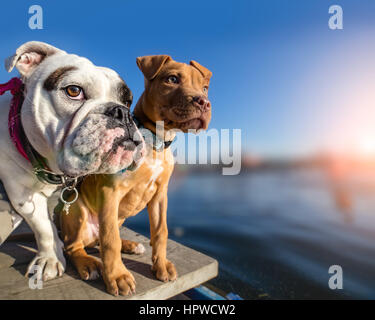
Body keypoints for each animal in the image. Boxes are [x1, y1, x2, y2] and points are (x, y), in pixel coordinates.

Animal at [58, 54, 212, 296]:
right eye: (172, 79)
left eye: (205, 88)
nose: (203, 102)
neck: (155, 141)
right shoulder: (109, 193)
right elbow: (110, 240)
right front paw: (117, 277)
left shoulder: (160, 195)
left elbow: (160, 232)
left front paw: (161, 266)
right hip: (77, 210)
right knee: (75, 246)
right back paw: (88, 264)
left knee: (99, 239)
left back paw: (129, 245)